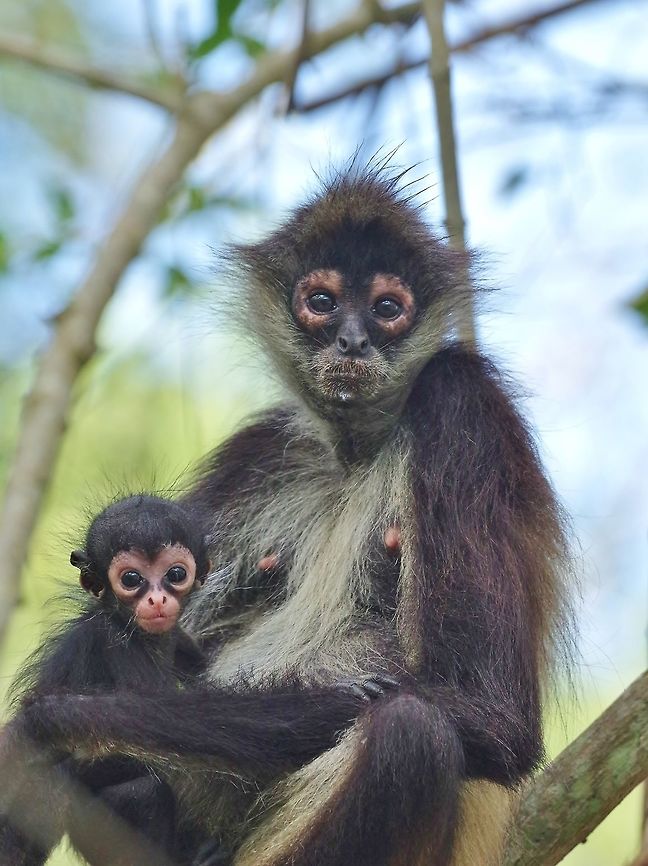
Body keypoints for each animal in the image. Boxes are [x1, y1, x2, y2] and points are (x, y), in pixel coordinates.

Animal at [15, 159, 571, 866]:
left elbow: (493, 719)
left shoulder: (459, 402)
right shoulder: (266, 447)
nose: (352, 340)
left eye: (387, 308)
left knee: (412, 734)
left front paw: (67, 718)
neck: (354, 448)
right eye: (323, 302)